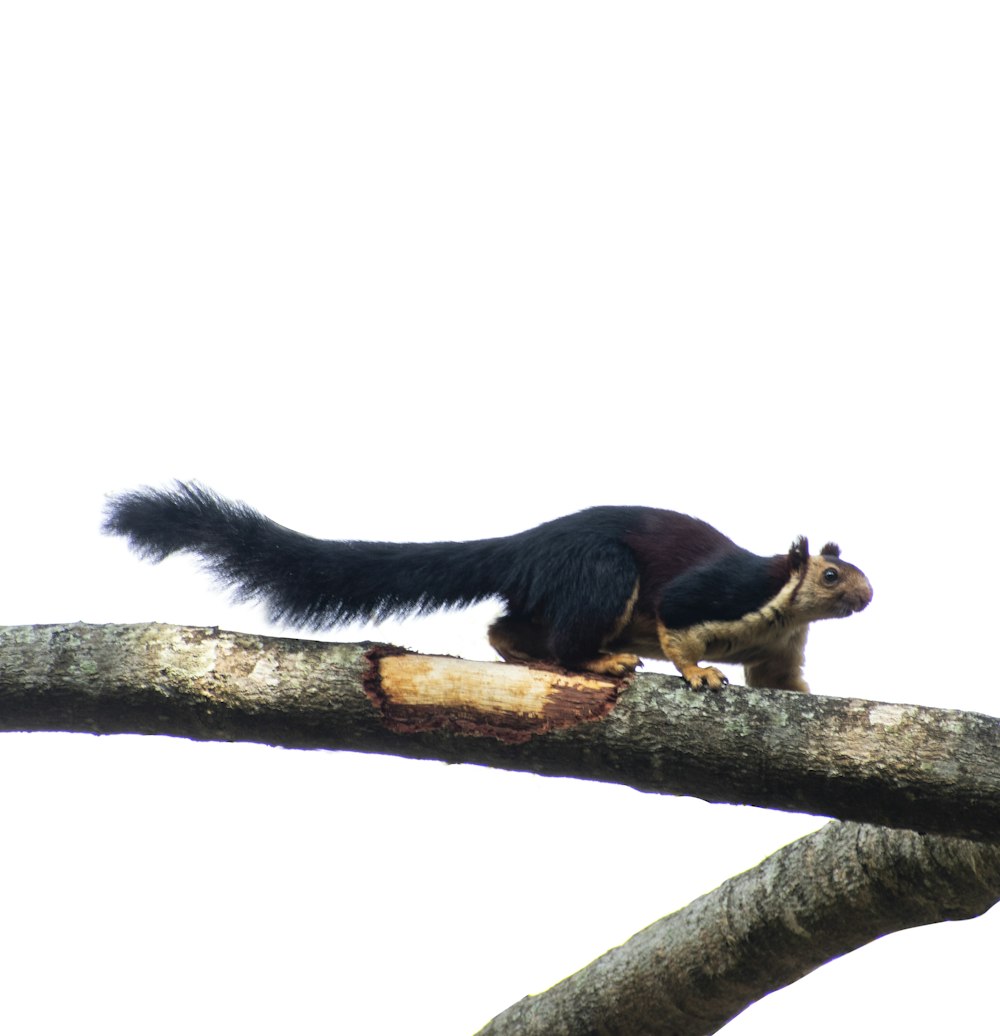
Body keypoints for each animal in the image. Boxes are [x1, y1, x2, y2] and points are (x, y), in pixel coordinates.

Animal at [101, 484, 866, 696]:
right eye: (831, 574)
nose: (867, 595)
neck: (779, 605)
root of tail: (524, 545)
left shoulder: (781, 646)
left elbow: (781, 683)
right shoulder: (723, 591)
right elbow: (679, 621)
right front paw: (699, 671)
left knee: (506, 627)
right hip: (602, 575)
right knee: (565, 634)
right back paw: (599, 661)